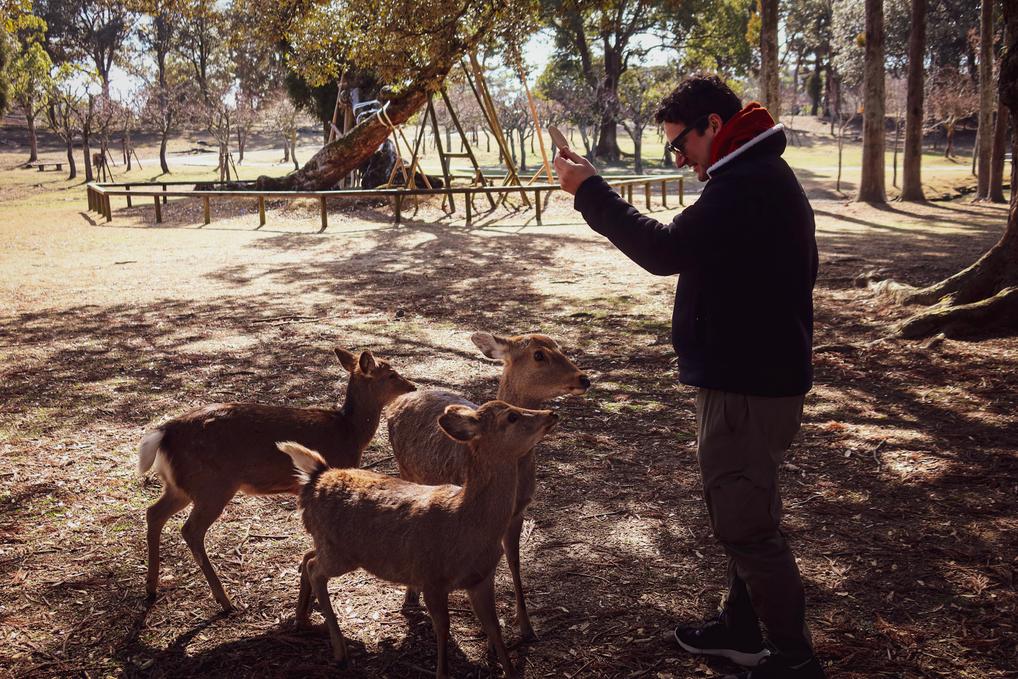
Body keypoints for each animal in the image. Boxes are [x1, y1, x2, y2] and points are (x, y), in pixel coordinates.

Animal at [137, 348, 415, 614]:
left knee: (154, 513)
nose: (412, 386)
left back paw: (151, 587)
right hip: (213, 485)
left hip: (181, 486)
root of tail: (164, 433)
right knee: (191, 530)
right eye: (391, 374)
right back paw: (225, 601)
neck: (351, 433)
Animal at [276, 401, 557, 675]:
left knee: (308, 556)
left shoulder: (482, 578)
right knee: (314, 569)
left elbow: (495, 628)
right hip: (339, 552)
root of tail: (317, 475)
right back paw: (340, 651)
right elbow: (443, 629)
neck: (468, 526)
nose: (551, 413)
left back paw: (302, 619)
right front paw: (442, 671)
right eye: (511, 416)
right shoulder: (430, 576)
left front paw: (508, 667)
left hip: (329, 545)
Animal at [382, 331, 590, 639]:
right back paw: (410, 597)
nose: (584, 378)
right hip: (405, 469)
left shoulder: (519, 512)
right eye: (539, 354)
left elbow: (514, 561)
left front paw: (526, 627)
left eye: (560, 346)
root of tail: (401, 398)